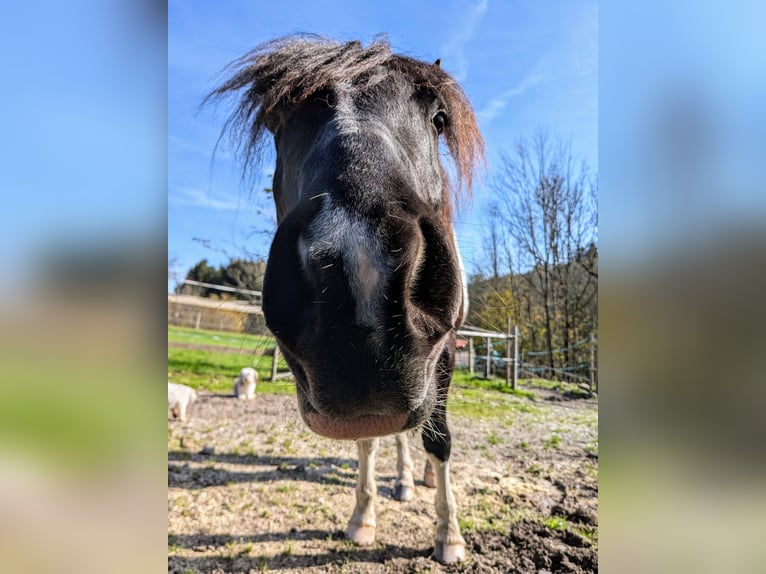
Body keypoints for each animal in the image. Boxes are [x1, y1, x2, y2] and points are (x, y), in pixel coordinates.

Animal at [208, 33, 486, 564]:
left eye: (439, 118)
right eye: (278, 122)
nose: (358, 274)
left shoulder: (443, 352)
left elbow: (439, 439)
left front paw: (449, 536)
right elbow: (370, 440)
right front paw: (363, 518)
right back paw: (403, 480)